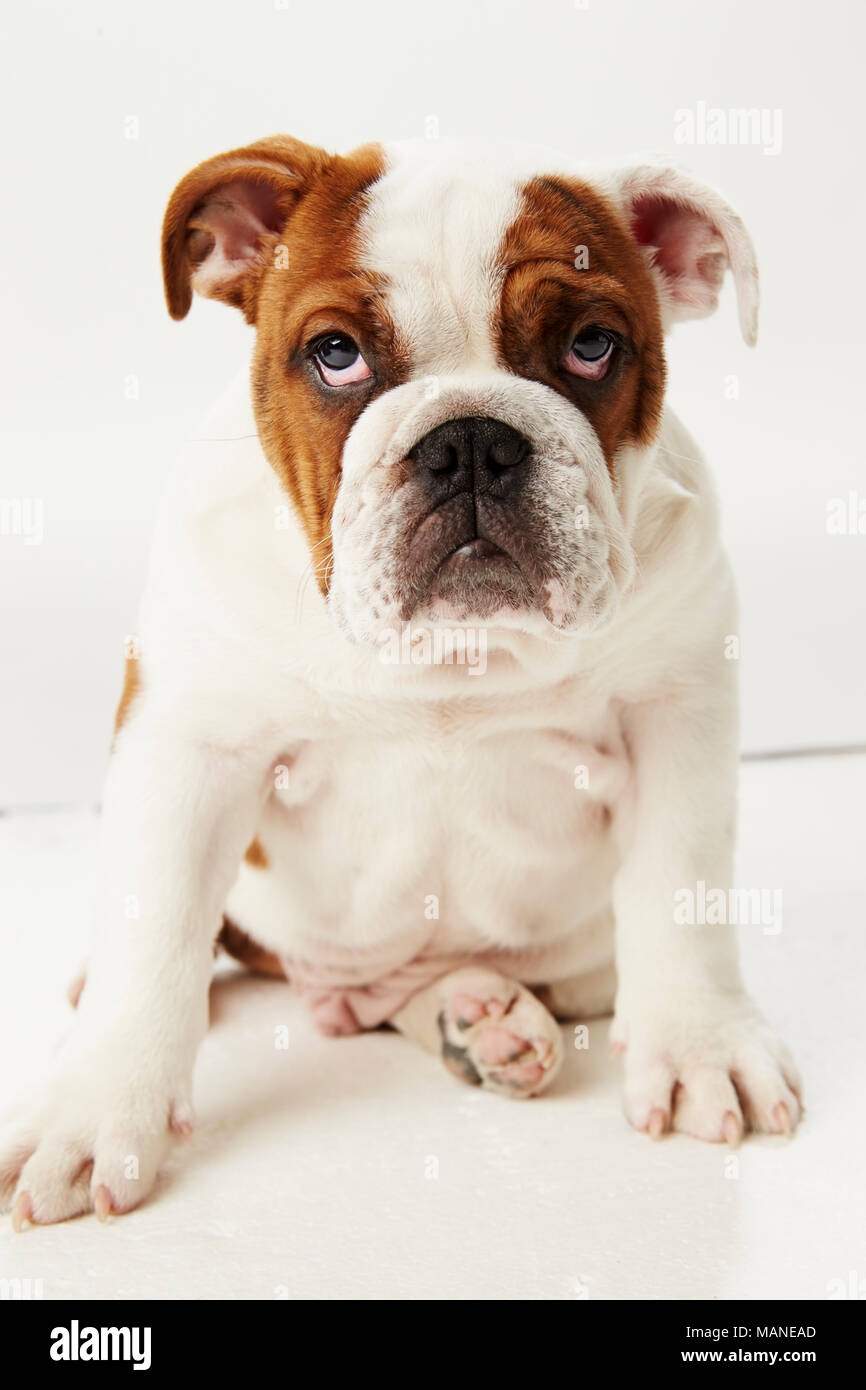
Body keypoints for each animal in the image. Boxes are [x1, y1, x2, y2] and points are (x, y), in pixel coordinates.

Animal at [0, 132, 800, 1228]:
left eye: (592, 345)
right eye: (336, 354)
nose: (469, 440)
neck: (455, 658)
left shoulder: (672, 715)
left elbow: (682, 888)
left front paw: (699, 1044)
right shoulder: (188, 742)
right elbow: (152, 923)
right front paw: (92, 1106)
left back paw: (480, 1016)